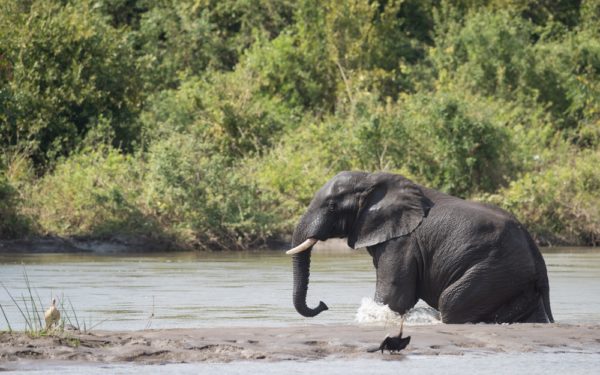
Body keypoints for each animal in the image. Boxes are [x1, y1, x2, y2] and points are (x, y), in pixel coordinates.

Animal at [286, 172, 552, 324]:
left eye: (332, 206)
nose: (323, 304)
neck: (372, 179)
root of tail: (537, 256)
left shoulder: (402, 242)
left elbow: (393, 297)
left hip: (496, 270)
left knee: (451, 301)